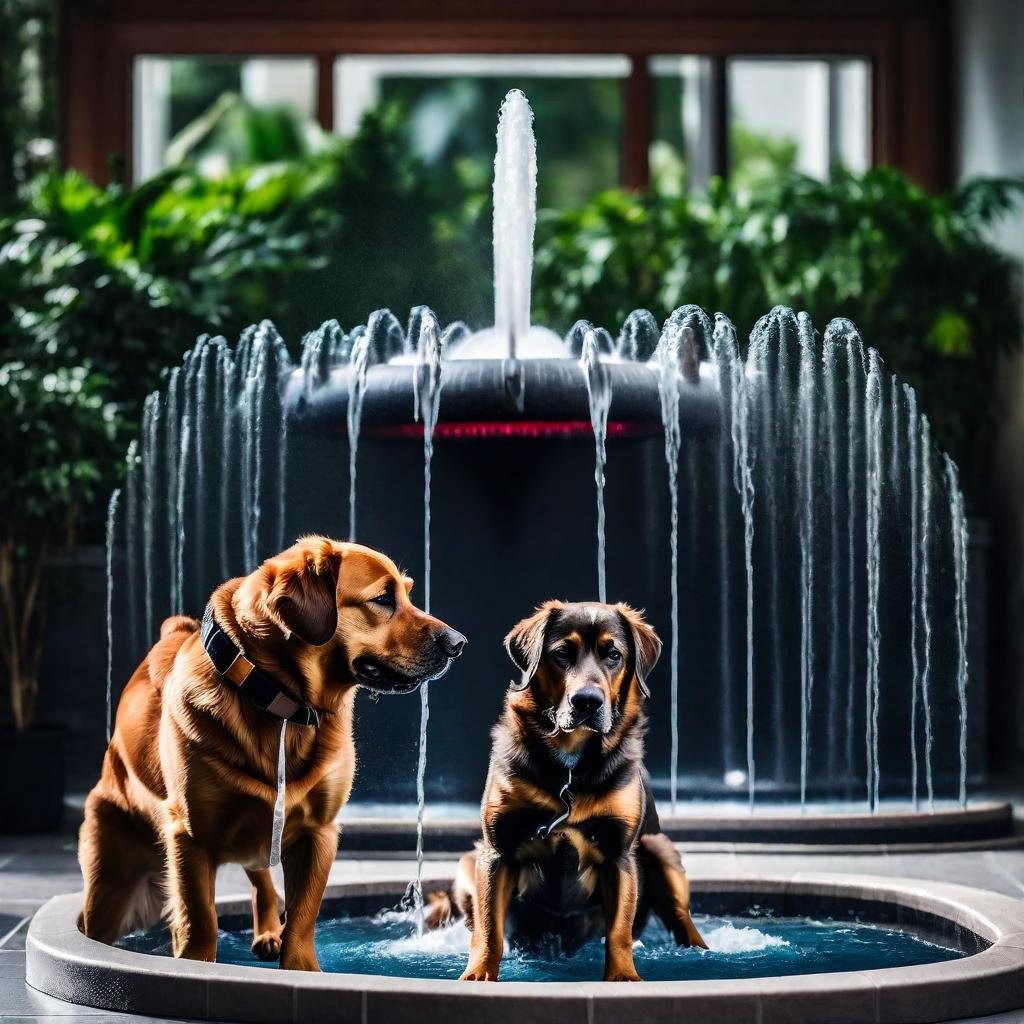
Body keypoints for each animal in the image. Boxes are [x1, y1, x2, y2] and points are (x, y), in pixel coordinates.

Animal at [77, 532, 466, 970]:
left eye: (409, 592)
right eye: (383, 598)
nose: (459, 643)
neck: (280, 703)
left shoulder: (319, 831)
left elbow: (301, 918)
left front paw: (299, 966)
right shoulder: (190, 838)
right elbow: (200, 921)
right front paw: (197, 961)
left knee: (264, 884)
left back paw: (267, 933)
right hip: (109, 882)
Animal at [423, 598, 704, 983]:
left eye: (613, 655)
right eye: (561, 654)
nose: (587, 701)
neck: (570, 766)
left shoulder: (619, 854)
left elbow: (619, 931)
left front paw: (623, 978)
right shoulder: (497, 851)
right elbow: (489, 929)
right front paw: (479, 976)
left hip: (658, 848)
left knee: (681, 919)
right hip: (469, 862)